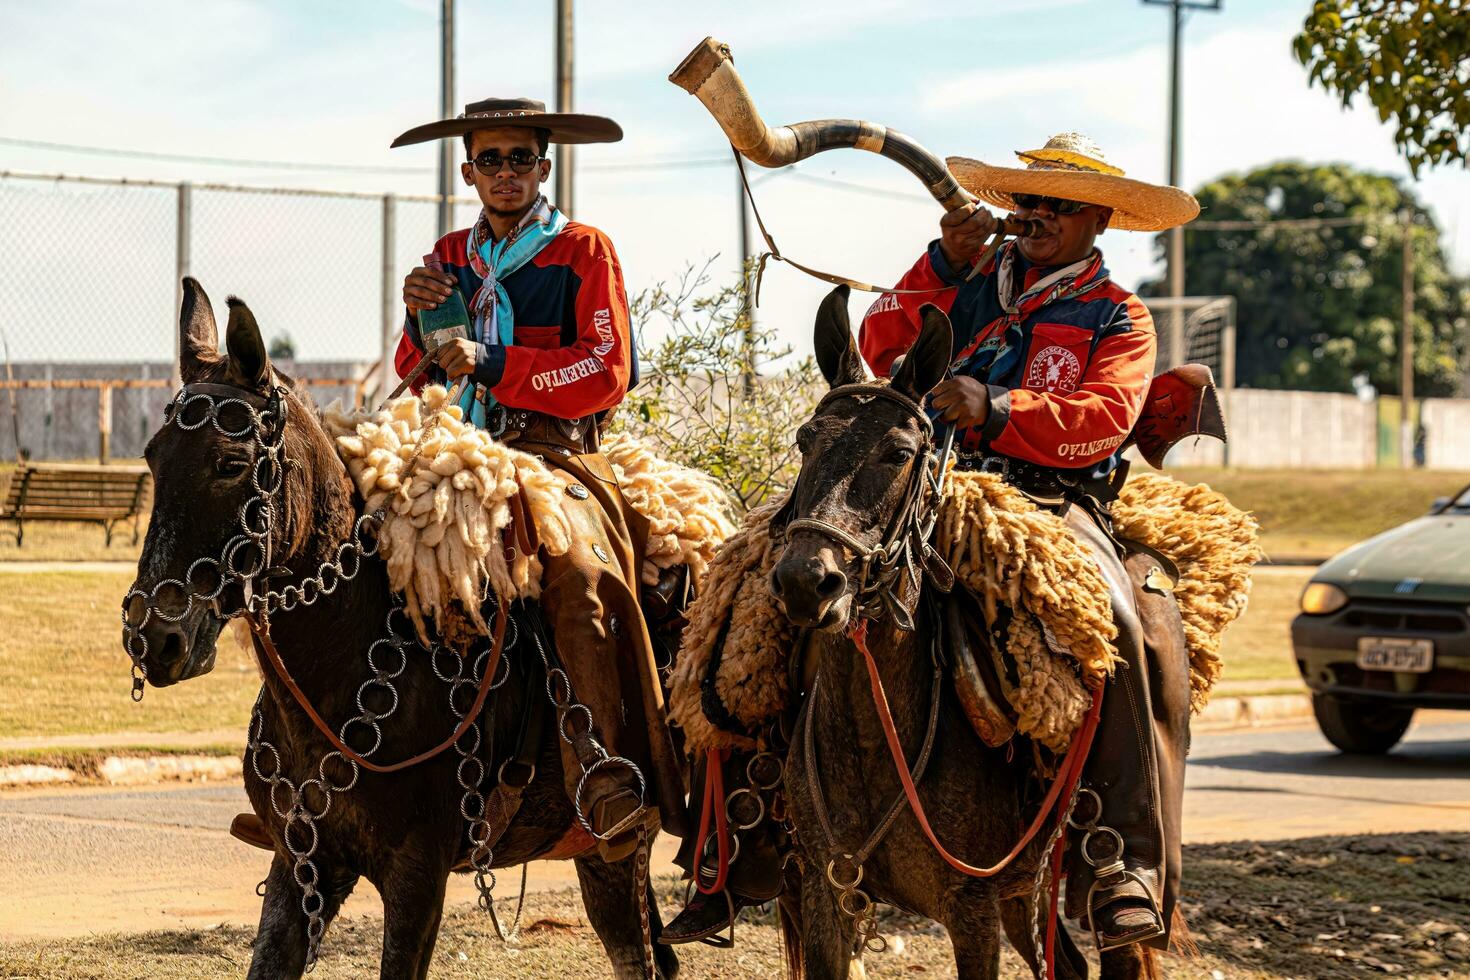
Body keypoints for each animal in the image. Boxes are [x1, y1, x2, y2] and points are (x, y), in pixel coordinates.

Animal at [126, 276, 676, 980]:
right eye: (152, 457)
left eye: (228, 462)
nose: (151, 635)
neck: (343, 665)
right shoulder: (302, 866)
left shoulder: (417, 879)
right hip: (596, 853)